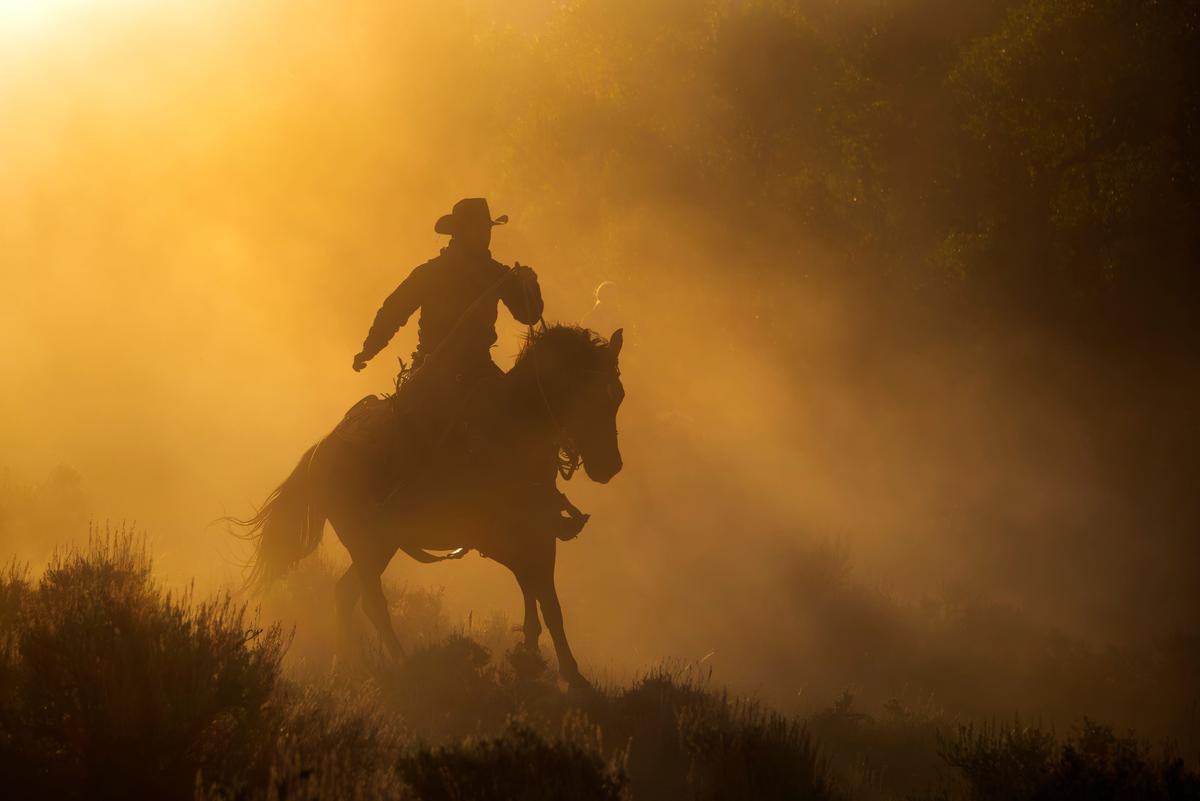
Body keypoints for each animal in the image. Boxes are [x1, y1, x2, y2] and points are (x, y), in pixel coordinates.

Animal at [235, 326, 628, 690]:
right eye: (588, 396)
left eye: (618, 396)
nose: (609, 466)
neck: (514, 431)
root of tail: (320, 451)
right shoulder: (511, 540)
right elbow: (547, 603)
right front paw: (571, 676)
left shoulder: (536, 536)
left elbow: (540, 601)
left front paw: (535, 662)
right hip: (366, 543)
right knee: (372, 602)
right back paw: (403, 666)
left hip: (381, 546)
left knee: (346, 594)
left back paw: (349, 667)